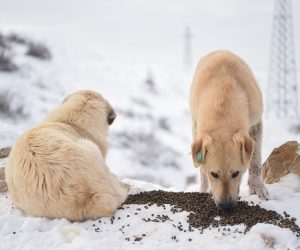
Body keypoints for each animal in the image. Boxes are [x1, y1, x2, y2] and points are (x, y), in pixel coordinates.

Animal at [190, 50, 268, 211]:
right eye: (214, 174)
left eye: (236, 173)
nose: (226, 207)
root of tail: (219, 50)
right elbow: (202, 169)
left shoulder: (256, 124)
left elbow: (255, 160)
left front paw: (257, 186)